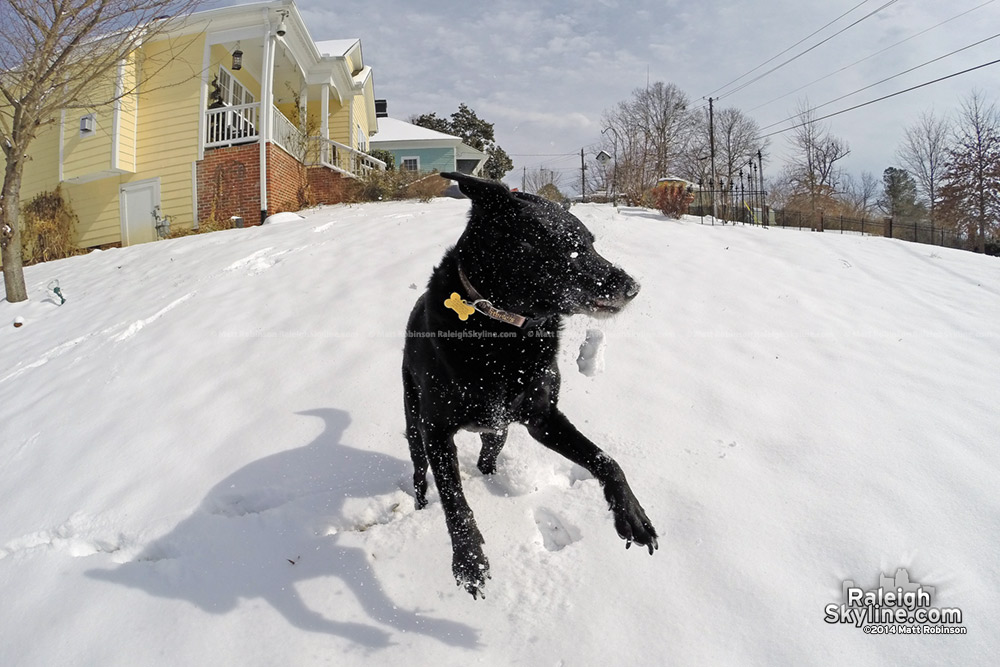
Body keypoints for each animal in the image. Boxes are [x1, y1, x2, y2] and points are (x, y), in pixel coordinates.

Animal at [402, 172, 660, 600]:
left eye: (592, 242)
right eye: (571, 248)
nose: (633, 287)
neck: (503, 327)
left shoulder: (543, 418)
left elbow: (607, 460)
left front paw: (632, 515)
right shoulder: (436, 430)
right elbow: (455, 500)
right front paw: (469, 560)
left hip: (498, 430)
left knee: (487, 456)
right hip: (414, 424)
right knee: (421, 473)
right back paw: (422, 504)